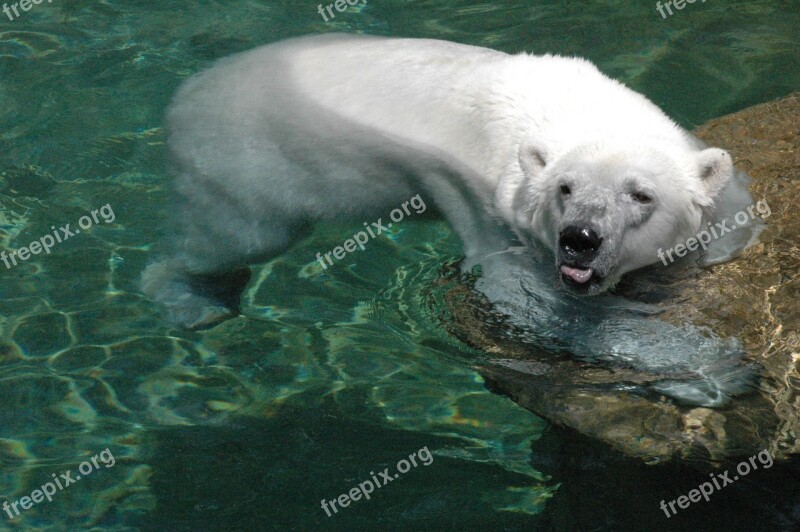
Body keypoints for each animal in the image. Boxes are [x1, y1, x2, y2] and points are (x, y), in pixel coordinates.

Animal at [141, 33, 760, 406]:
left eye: (641, 195)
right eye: (566, 188)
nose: (579, 239)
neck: (576, 108)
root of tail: (183, 94)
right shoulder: (493, 207)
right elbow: (531, 305)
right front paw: (712, 371)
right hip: (245, 164)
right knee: (231, 239)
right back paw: (193, 300)